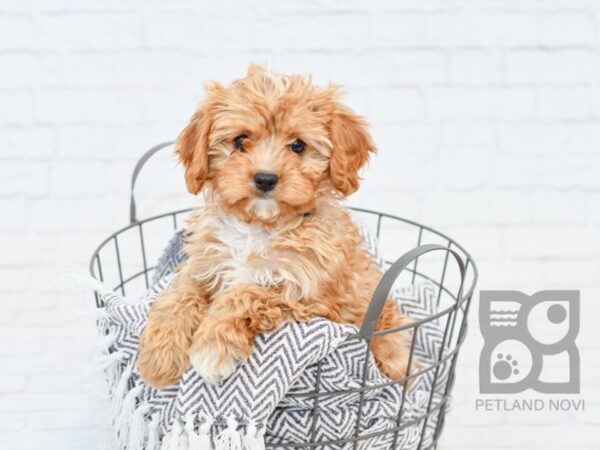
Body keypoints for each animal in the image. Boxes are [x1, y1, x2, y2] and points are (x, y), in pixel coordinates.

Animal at [138, 65, 414, 388]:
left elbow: (247, 294)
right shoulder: (201, 266)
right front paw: (160, 357)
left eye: (298, 146)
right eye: (240, 142)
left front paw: (212, 347)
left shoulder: (305, 294)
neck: (259, 226)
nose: (265, 179)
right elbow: (178, 295)